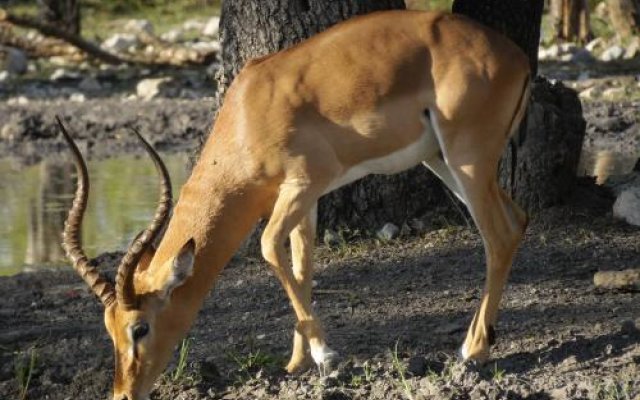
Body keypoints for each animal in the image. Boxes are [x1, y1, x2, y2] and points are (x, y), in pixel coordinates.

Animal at [58, 10, 528, 400]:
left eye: (140, 327)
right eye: (108, 330)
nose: (123, 394)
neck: (248, 116)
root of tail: (518, 57)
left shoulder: (303, 184)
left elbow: (269, 247)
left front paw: (326, 356)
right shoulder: (308, 199)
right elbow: (302, 267)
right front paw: (297, 363)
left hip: (467, 158)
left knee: (499, 235)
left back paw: (473, 351)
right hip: (442, 161)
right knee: (518, 219)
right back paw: (476, 339)